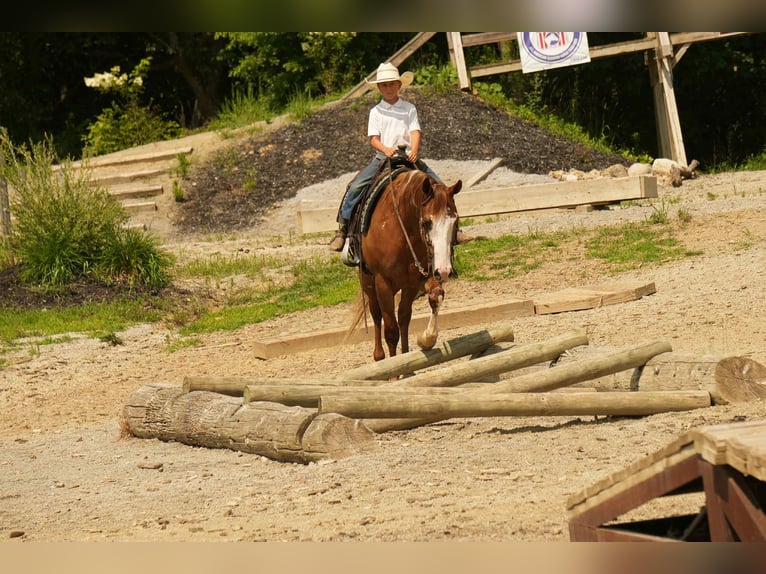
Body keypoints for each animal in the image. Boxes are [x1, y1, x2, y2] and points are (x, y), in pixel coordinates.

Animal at [348, 167, 462, 362]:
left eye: (455, 220)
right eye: (427, 222)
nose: (445, 271)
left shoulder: (417, 280)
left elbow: (435, 297)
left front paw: (426, 339)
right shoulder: (383, 283)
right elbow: (391, 331)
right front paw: (394, 367)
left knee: (403, 316)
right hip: (368, 283)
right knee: (376, 314)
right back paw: (379, 357)